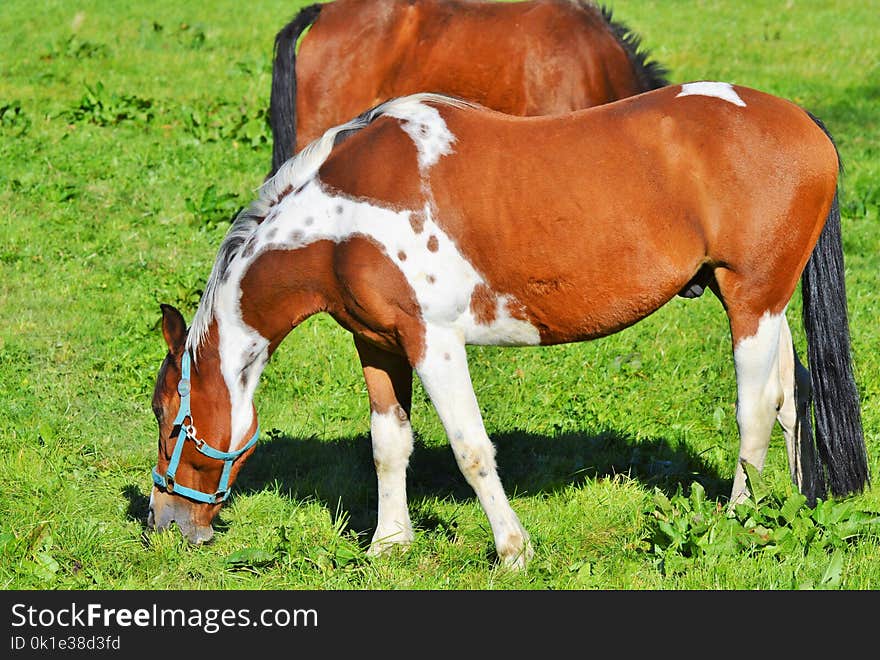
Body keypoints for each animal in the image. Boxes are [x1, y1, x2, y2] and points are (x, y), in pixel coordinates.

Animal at [148, 81, 868, 568]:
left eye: (169, 419)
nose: (165, 524)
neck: (340, 219)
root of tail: (803, 120)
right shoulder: (378, 343)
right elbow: (388, 445)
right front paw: (389, 543)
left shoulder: (434, 342)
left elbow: (470, 448)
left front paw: (513, 548)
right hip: (759, 303)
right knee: (790, 396)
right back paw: (786, 509)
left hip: (752, 301)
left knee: (756, 408)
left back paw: (737, 519)